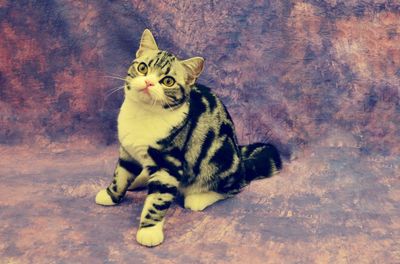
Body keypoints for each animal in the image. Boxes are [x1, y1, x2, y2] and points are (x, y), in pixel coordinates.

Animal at [95, 29, 282, 248]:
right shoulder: (128, 152)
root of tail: (241, 159)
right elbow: (121, 175)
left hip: (220, 160)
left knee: (234, 186)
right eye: (142, 68)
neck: (143, 114)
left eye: (167, 81)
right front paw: (111, 194)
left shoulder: (169, 164)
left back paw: (198, 198)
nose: (149, 82)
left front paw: (149, 230)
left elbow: (157, 199)